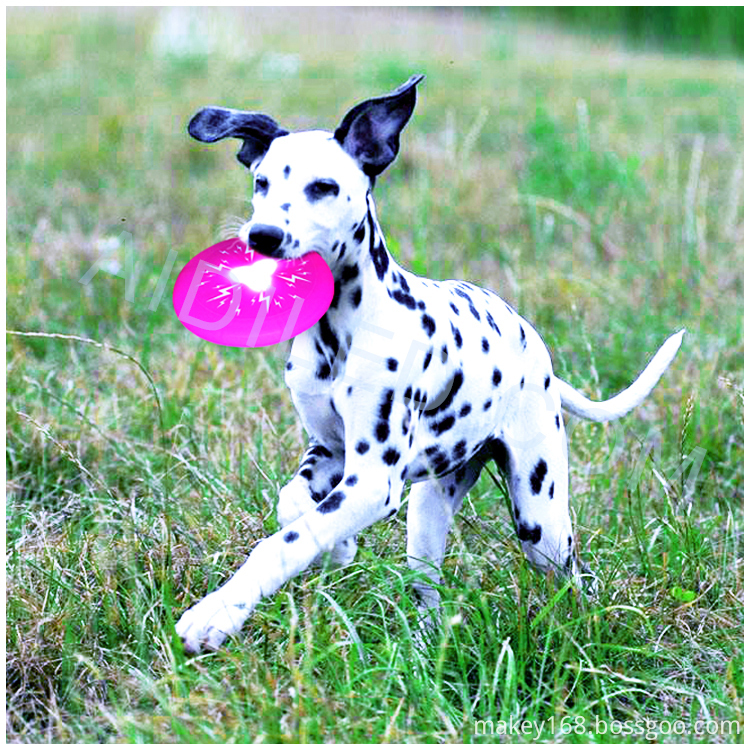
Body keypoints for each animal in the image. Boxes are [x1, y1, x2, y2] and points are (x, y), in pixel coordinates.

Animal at [178, 73, 688, 656]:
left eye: (323, 187)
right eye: (261, 181)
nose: (262, 236)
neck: (339, 329)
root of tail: (538, 352)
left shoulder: (373, 479)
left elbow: (284, 541)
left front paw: (216, 614)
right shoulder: (330, 452)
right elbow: (293, 508)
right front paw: (339, 548)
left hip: (542, 522)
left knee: (578, 577)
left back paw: (591, 632)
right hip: (426, 513)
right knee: (428, 594)